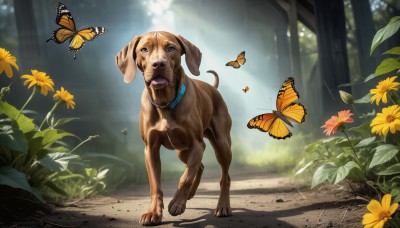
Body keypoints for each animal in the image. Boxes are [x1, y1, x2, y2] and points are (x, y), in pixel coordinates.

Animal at [114, 31, 233, 225]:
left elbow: (185, 177)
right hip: (181, 151)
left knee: (224, 177)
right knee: (199, 166)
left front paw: (177, 203)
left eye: (171, 48)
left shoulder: (197, 144)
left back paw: (222, 206)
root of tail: (212, 88)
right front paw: (153, 212)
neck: (165, 103)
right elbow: (156, 184)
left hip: (222, 145)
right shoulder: (150, 149)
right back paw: (190, 194)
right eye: (144, 49)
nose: (158, 64)